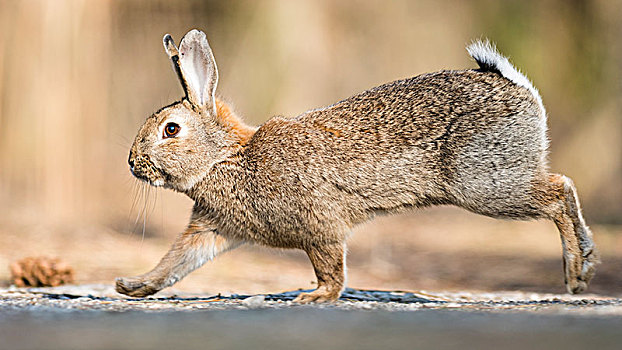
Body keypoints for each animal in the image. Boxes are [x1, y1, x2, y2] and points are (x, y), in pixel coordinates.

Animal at [116, 29, 600, 304]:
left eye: (171, 130)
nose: (133, 163)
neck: (225, 157)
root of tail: (518, 90)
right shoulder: (212, 229)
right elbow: (174, 263)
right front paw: (131, 287)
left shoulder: (320, 226)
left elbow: (331, 268)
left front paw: (314, 298)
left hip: (486, 183)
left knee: (559, 191)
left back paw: (578, 273)